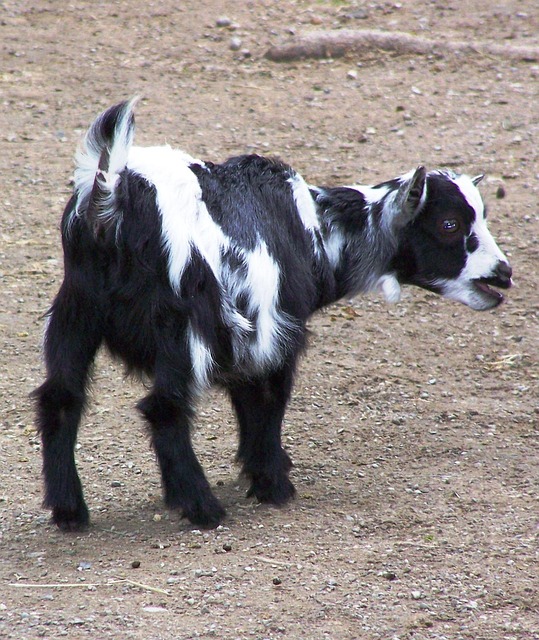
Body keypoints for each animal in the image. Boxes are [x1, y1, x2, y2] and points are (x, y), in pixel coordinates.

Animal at [34, 99, 512, 530]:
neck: (312, 230)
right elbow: (271, 400)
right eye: (450, 224)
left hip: (75, 313)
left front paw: (262, 469)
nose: (503, 274)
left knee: (60, 399)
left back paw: (69, 510)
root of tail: (109, 198)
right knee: (164, 409)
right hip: (184, 329)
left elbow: (248, 399)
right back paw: (202, 507)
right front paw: (273, 484)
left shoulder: (248, 338)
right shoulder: (278, 331)